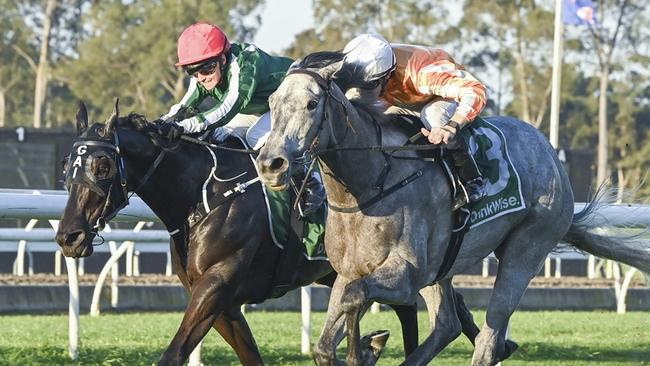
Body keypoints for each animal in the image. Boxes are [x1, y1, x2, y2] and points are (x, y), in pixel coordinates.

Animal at [55, 101, 470, 366]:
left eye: (103, 165)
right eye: (67, 164)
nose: (68, 237)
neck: (206, 195)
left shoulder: (217, 284)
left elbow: (173, 355)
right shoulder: (221, 300)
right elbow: (249, 355)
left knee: (415, 309)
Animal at [254, 55, 650, 366]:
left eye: (311, 103)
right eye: (272, 102)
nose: (271, 164)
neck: (368, 184)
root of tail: (549, 152)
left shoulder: (406, 276)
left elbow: (355, 299)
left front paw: (364, 350)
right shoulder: (351, 271)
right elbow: (325, 343)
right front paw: (364, 347)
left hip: (528, 246)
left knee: (488, 339)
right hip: (442, 267)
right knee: (447, 324)